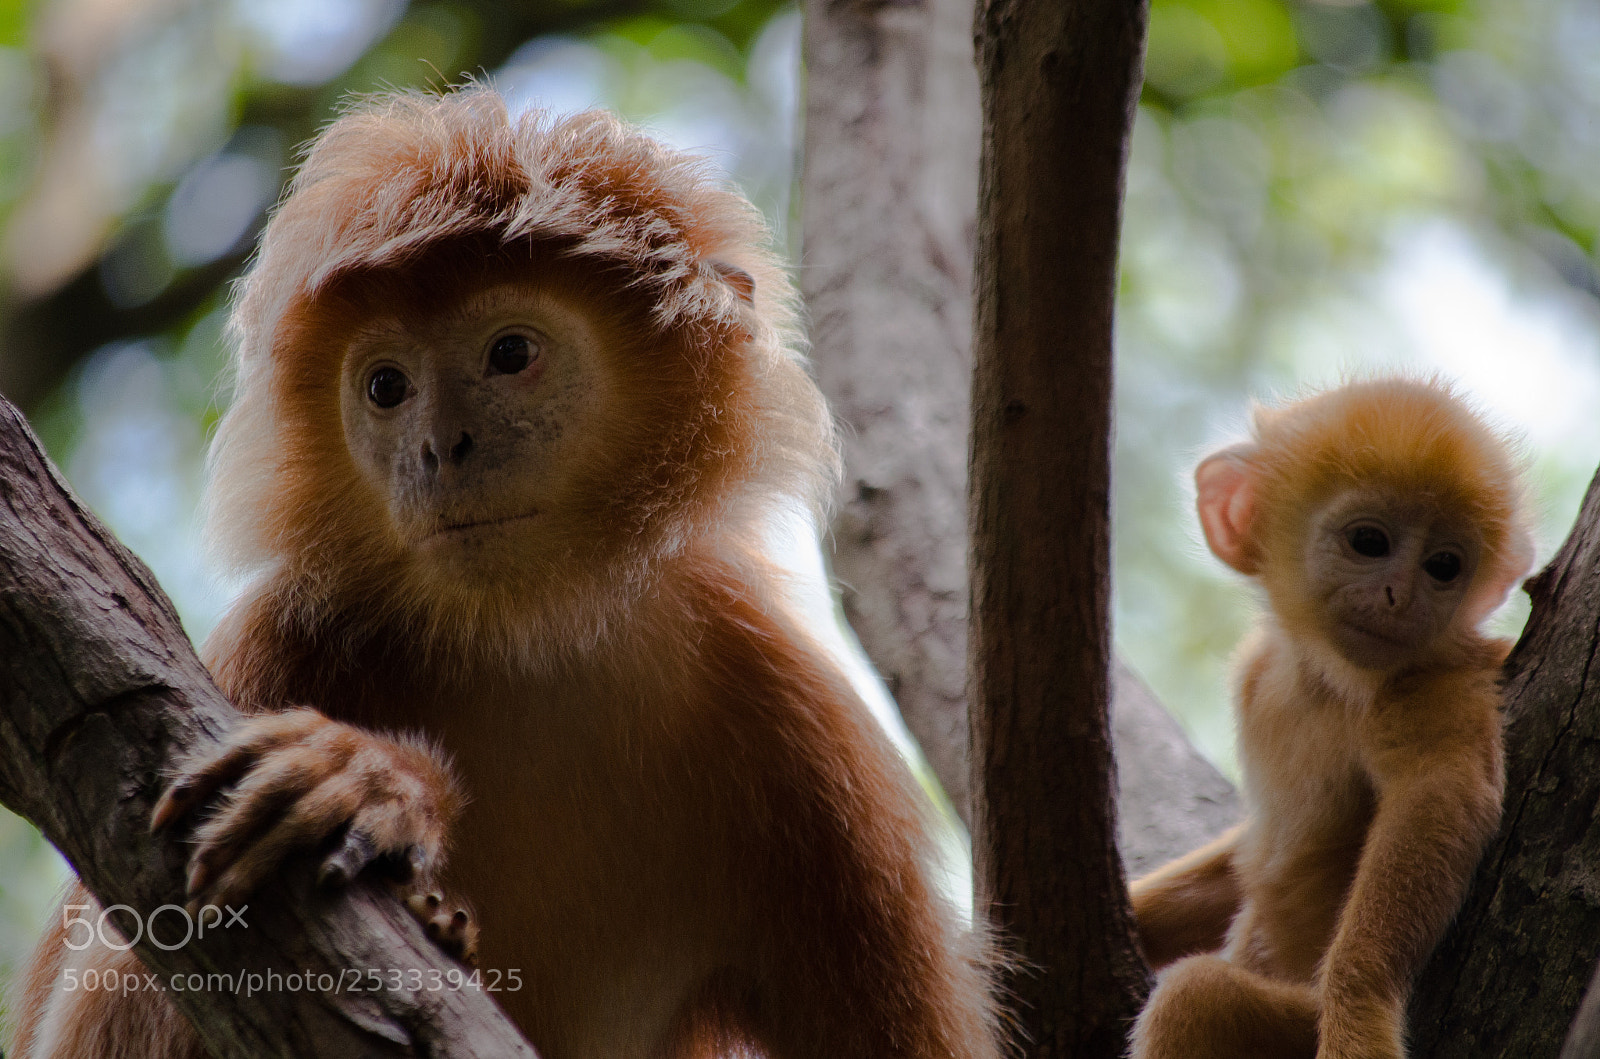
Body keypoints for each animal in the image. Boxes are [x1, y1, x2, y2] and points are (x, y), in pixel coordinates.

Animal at [7, 88, 1003, 1059]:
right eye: (386, 387)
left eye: (511, 354)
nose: (441, 447)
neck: (530, 635)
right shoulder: (270, 647)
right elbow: (112, 1022)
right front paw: (385, 781)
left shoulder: (802, 727)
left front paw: (375, 780)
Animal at [1127, 377, 1533, 1059]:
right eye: (1369, 543)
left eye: (1444, 566)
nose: (1401, 596)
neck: (1322, 682)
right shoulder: (1257, 671)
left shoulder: (1436, 682)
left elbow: (1437, 796)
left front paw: (1359, 1007)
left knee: (1196, 998)